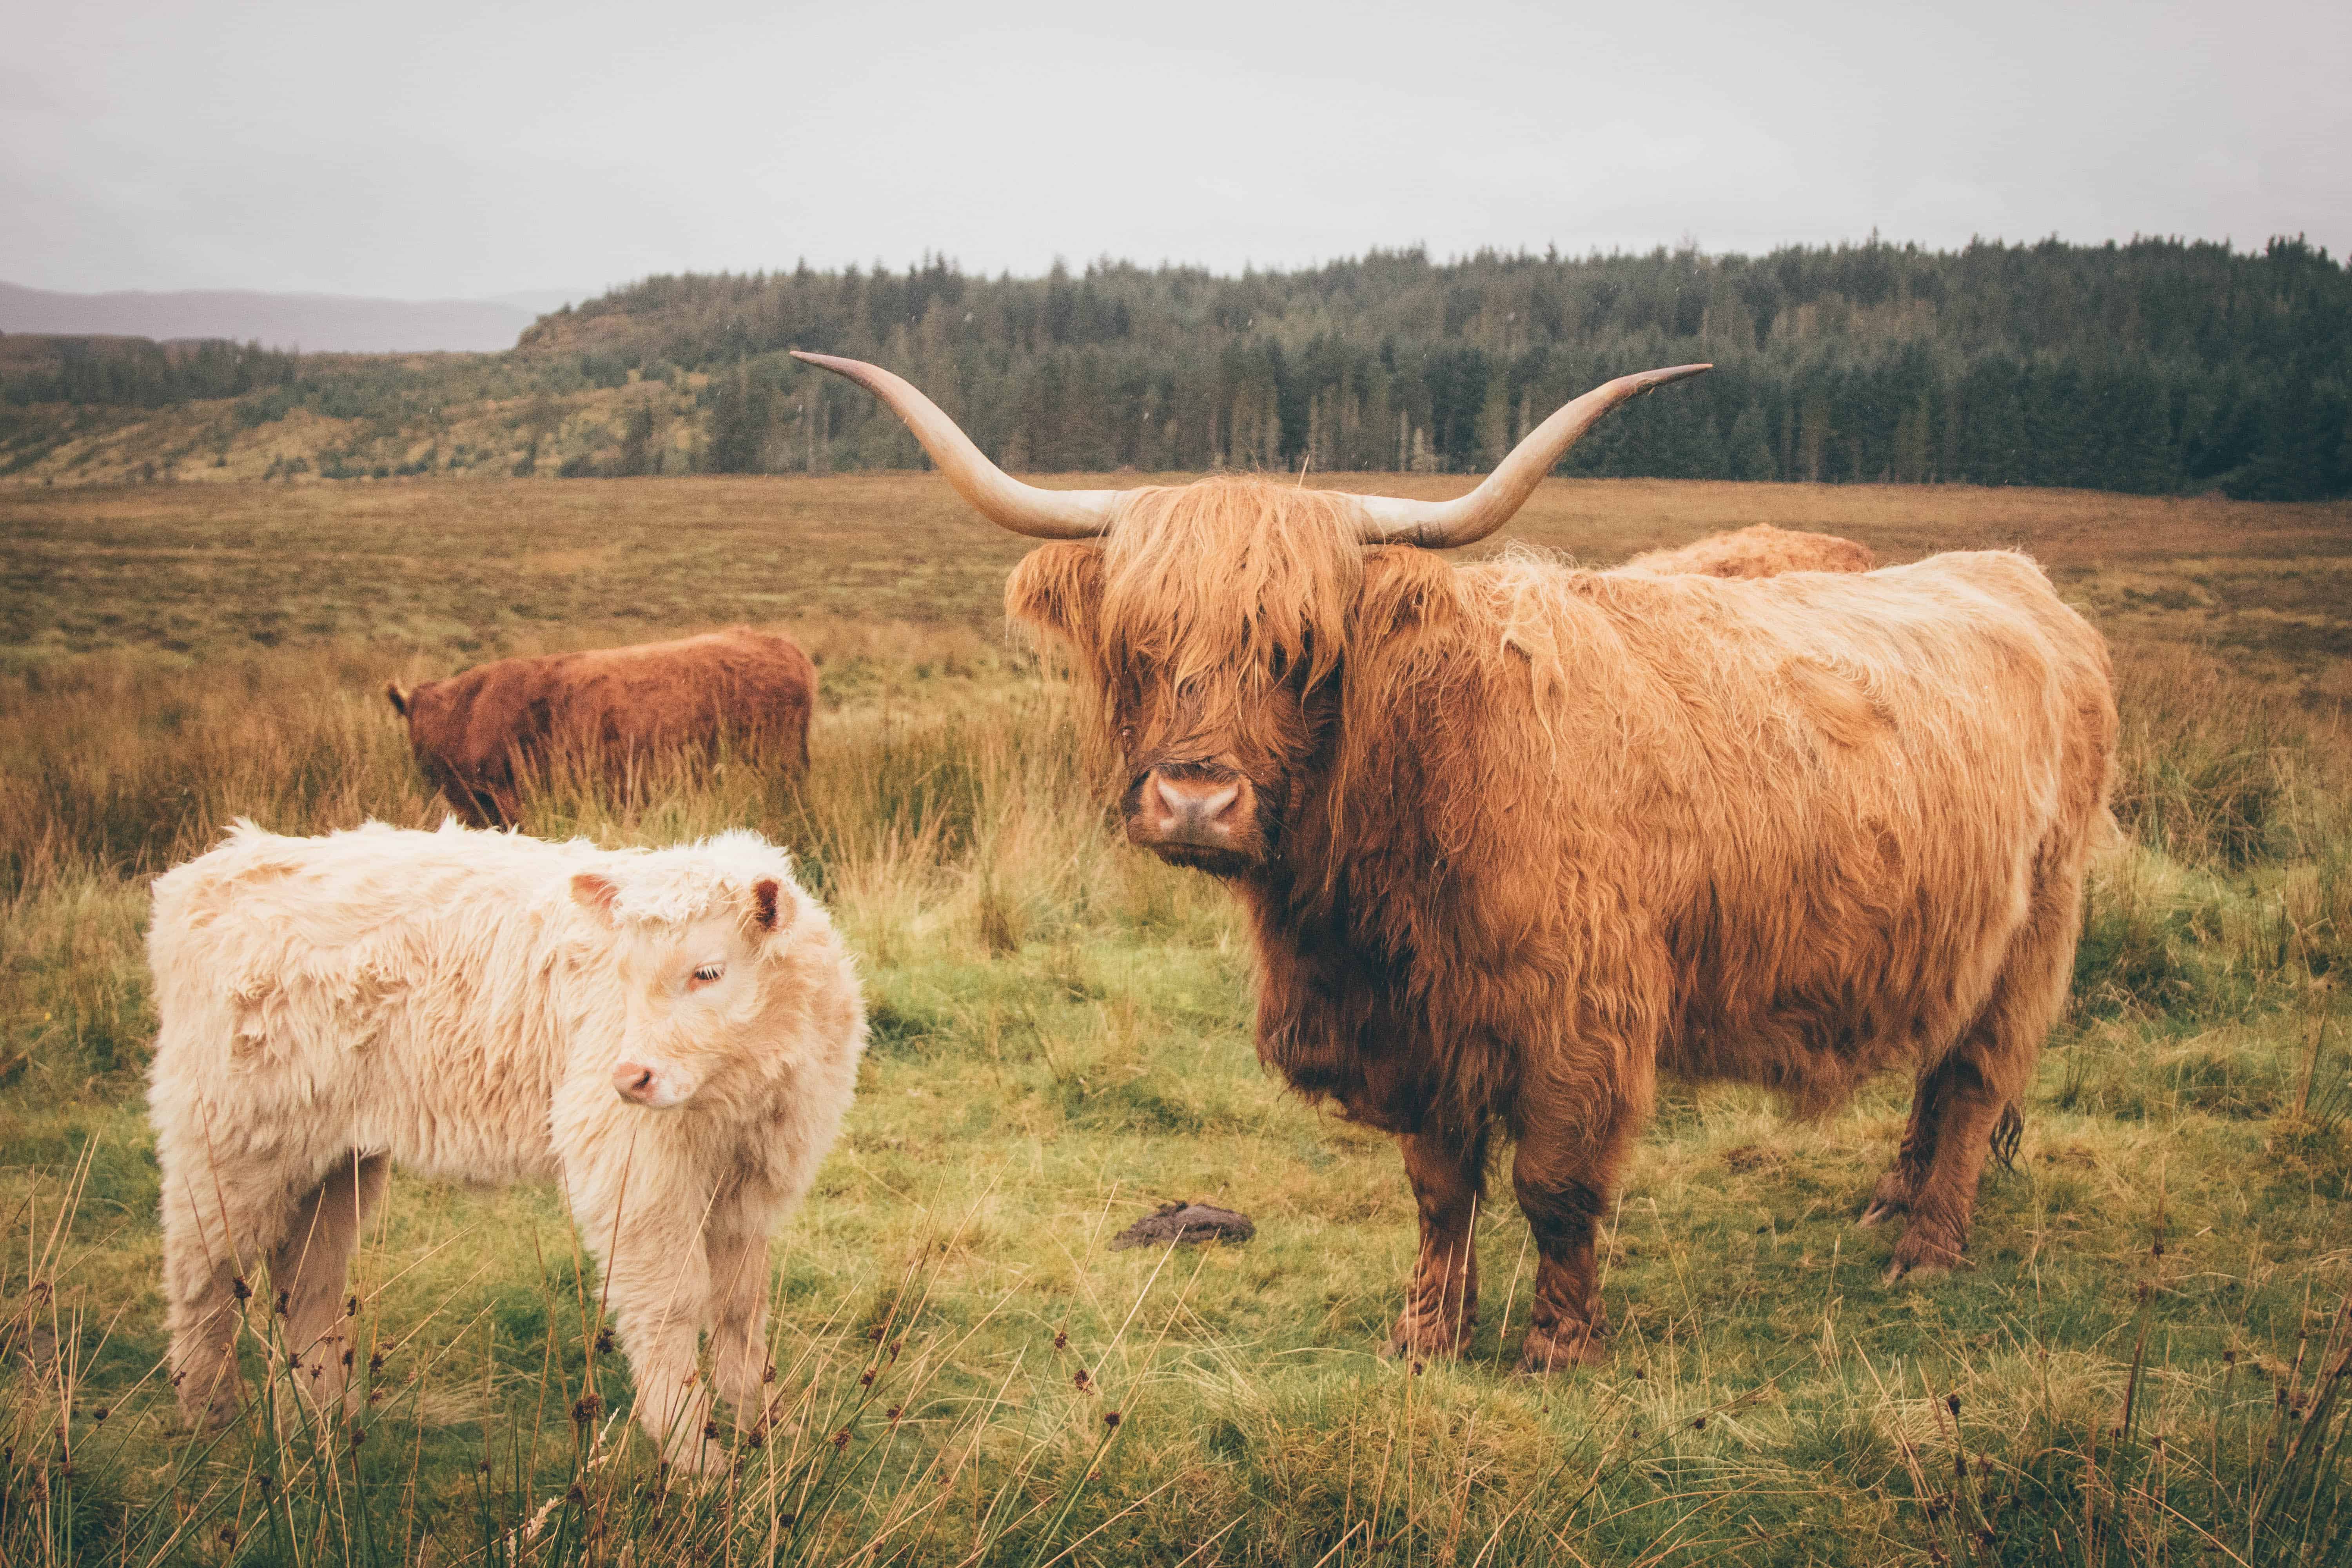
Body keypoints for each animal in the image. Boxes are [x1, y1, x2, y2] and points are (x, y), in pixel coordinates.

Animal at [147, 822, 866, 1476]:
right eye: (623, 974)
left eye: (708, 971)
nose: (630, 1078)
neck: (742, 1086)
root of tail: (215, 866)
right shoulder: (636, 1174)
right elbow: (671, 1306)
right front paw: (696, 1461)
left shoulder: (751, 1184)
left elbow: (741, 1307)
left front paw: (766, 1430)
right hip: (229, 1141)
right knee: (202, 1273)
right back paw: (214, 1416)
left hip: (332, 1159)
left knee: (308, 1278)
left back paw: (323, 1418)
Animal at [386, 625, 818, 827]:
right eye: (415, 729)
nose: (427, 767)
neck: (468, 713)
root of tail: (785, 648)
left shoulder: (510, 802)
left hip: (772, 766)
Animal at [800, 352, 2126, 1373]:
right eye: (1138, 643)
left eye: (1302, 650)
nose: (1194, 798)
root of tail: (2010, 575)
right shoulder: (1415, 1031)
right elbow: (1439, 1186)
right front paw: (1426, 1335)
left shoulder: (1579, 1021)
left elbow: (1555, 1187)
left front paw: (1556, 1346)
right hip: (1950, 933)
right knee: (1937, 1069)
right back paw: (1889, 1201)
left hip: (2037, 924)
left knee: (1973, 1080)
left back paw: (1923, 1248)